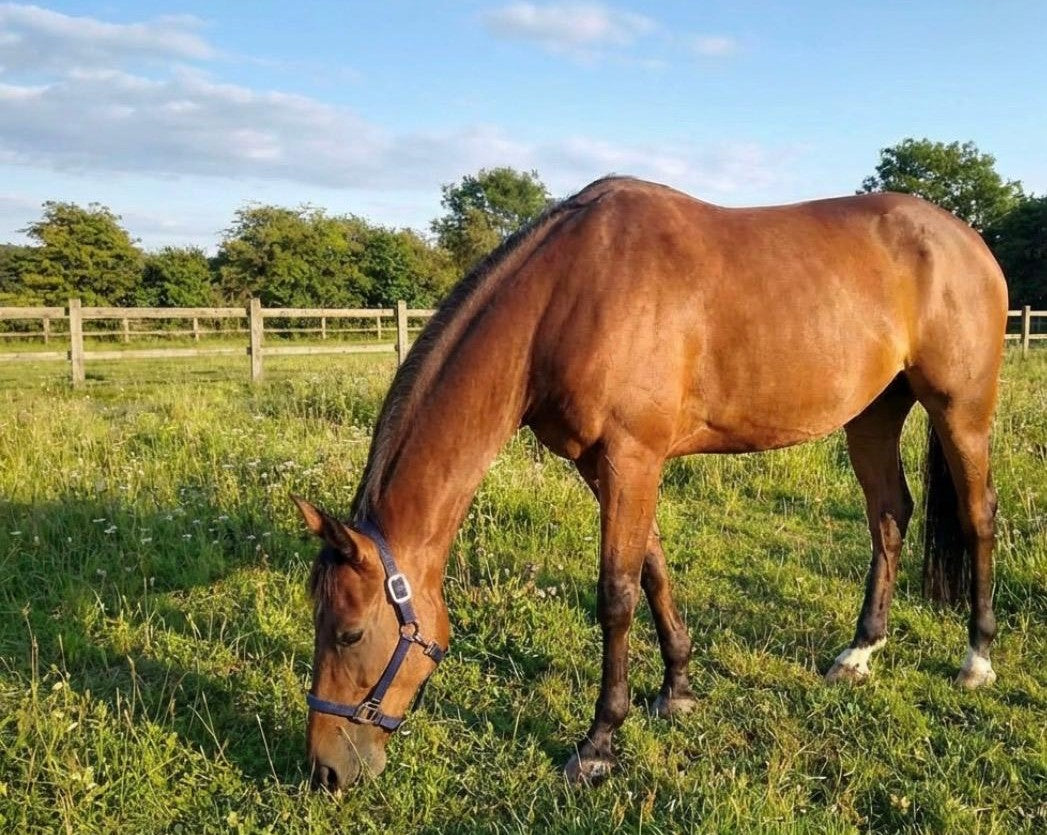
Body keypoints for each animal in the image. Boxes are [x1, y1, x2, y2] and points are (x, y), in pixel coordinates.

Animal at [292, 176, 1007, 791]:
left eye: (350, 633)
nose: (325, 771)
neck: (565, 297)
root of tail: (966, 240)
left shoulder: (630, 457)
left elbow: (616, 594)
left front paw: (598, 745)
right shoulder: (609, 465)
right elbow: (654, 570)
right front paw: (677, 690)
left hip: (961, 410)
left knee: (978, 515)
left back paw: (976, 659)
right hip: (875, 413)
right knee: (889, 515)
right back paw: (860, 651)